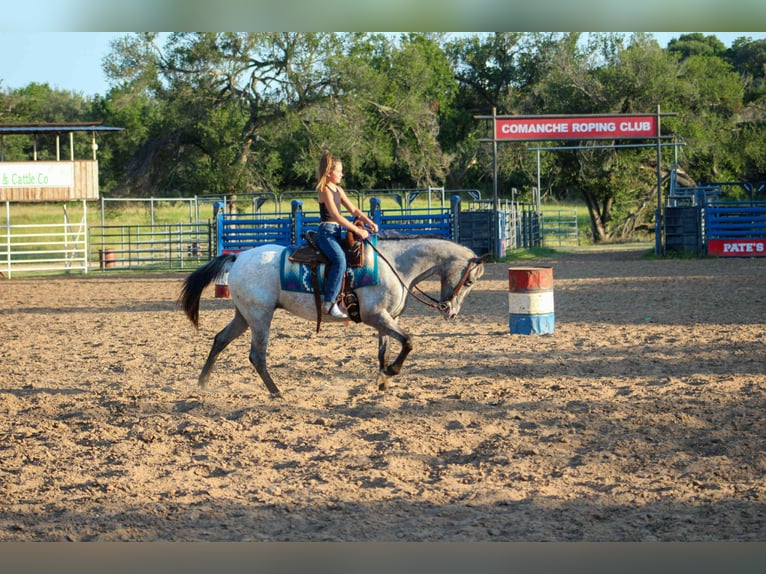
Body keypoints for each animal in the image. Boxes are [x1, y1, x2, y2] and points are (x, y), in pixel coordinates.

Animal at [178, 236, 488, 396]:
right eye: (470, 281)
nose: (451, 311)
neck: (396, 265)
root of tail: (238, 258)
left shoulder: (386, 320)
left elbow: (385, 351)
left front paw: (382, 381)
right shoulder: (376, 316)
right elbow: (410, 342)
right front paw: (391, 373)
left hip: (244, 316)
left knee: (220, 340)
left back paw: (202, 384)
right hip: (259, 317)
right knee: (257, 356)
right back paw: (277, 392)